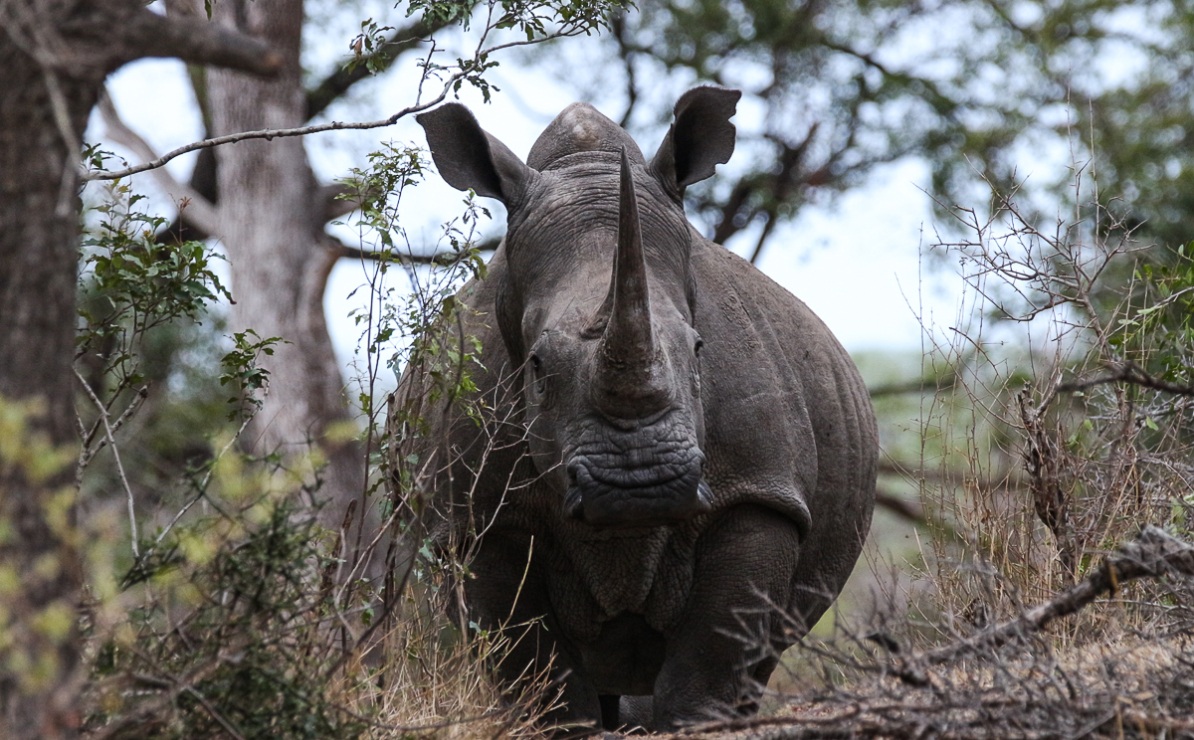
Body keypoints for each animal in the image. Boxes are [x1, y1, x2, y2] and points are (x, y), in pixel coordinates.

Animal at [388, 86, 878, 733]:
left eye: (699, 349)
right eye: (537, 368)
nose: (640, 484)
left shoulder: (758, 487)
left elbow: (716, 648)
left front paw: (700, 725)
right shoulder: (474, 517)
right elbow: (530, 656)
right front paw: (563, 728)